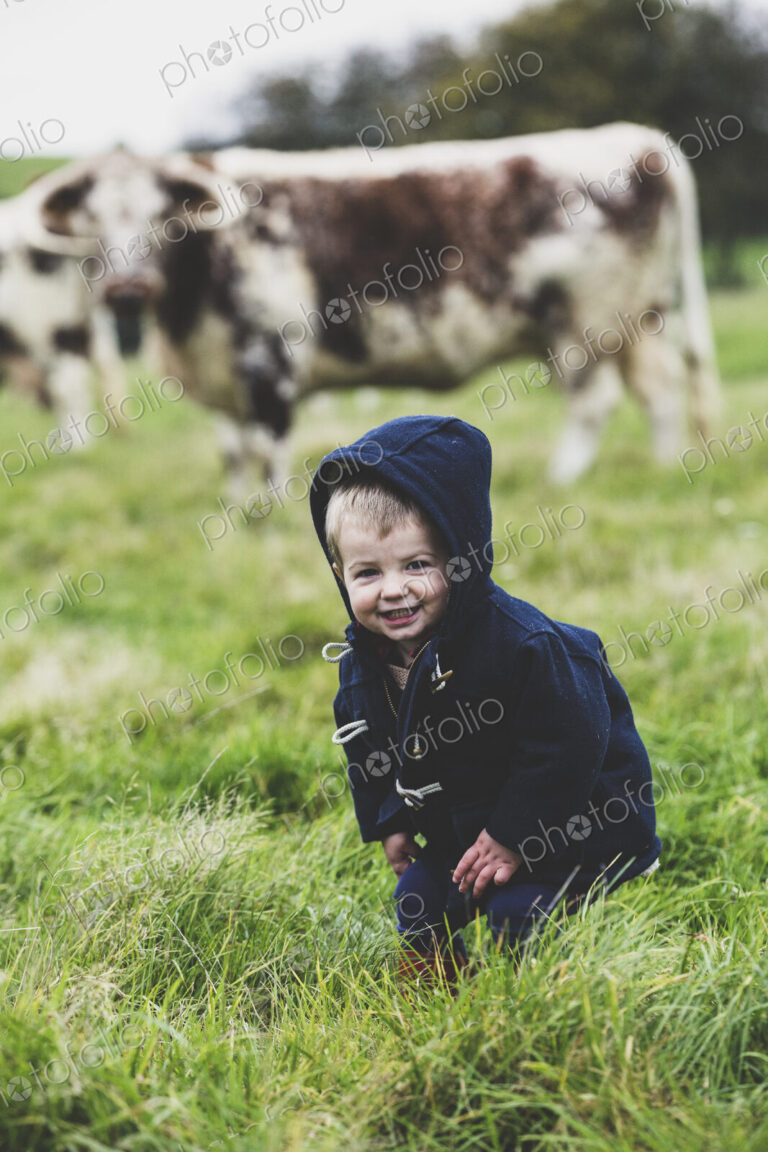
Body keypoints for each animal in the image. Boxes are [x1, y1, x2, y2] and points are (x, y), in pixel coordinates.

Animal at [24, 122, 719, 490]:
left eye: (163, 218)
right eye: (91, 222)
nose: (127, 288)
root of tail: (632, 139)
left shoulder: (270, 358)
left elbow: (269, 448)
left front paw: (268, 519)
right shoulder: (223, 371)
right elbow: (235, 451)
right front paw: (237, 514)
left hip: (586, 323)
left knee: (596, 401)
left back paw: (563, 479)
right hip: (638, 320)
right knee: (658, 389)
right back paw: (665, 467)